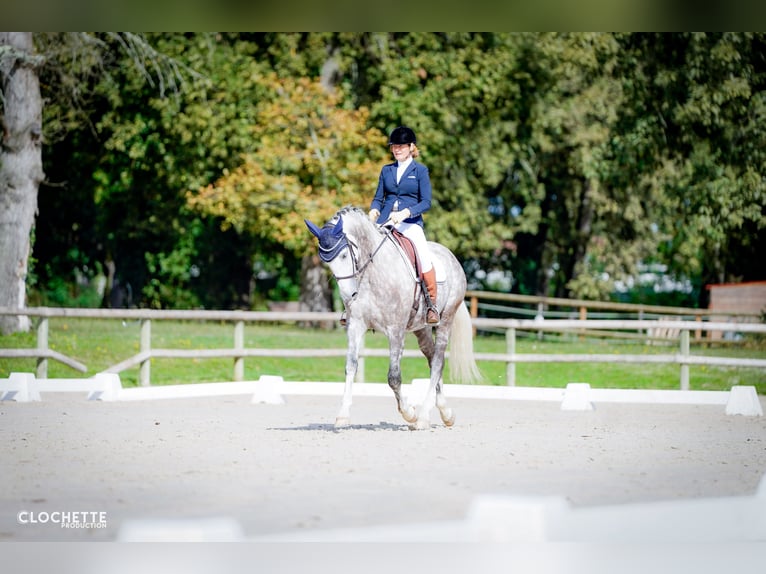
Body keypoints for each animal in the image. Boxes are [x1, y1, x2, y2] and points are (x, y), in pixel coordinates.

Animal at [304, 205, 480, 430]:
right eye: (325, 261)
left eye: (344, 255)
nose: (349, 295)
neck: (372, 273)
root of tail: (450, 255)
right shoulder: (355, 326)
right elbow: (351, 366)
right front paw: (342, 416)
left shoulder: (395, 330)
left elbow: (393, 377)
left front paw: (409, 413)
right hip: (421, 328)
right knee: (432, 358)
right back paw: (445, 412)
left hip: (445, 320)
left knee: (438, 362)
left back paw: (423, 417)